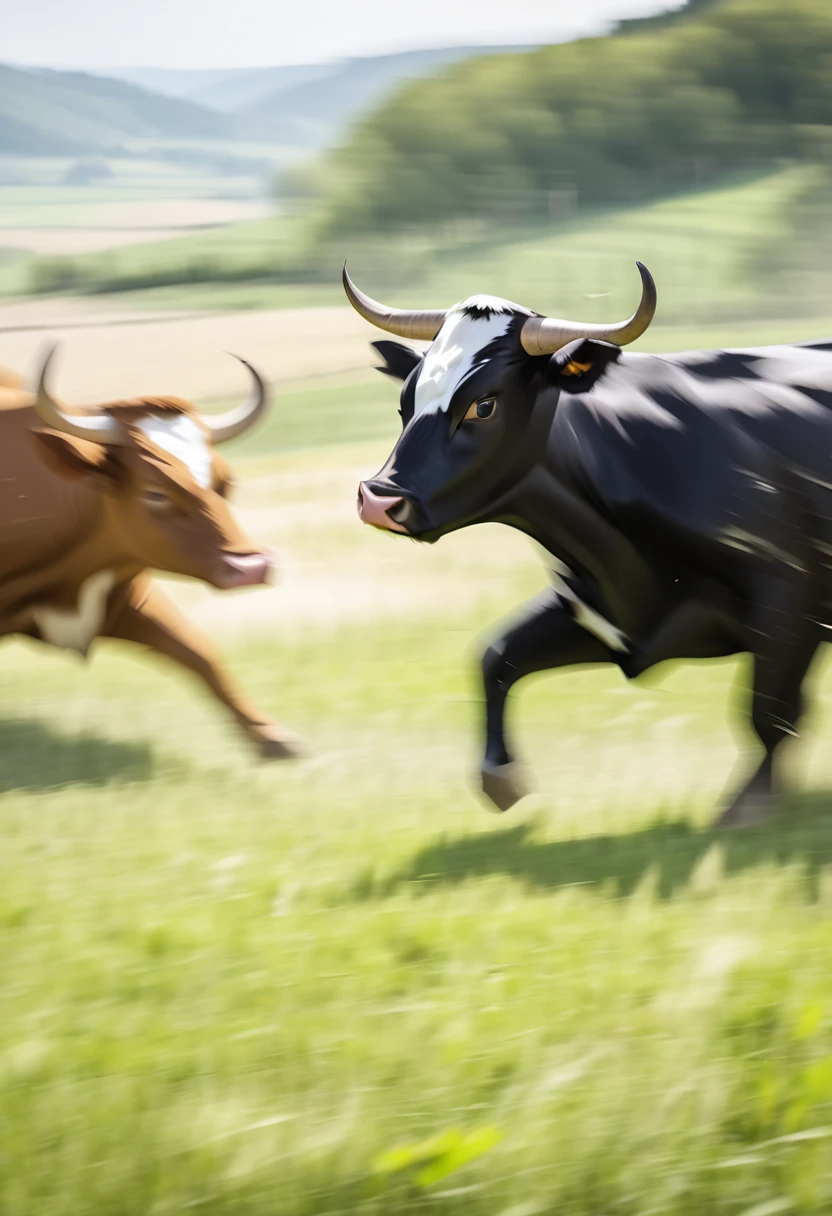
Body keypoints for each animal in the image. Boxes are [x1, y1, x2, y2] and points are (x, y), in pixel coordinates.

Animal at [0, 345, 301, 758]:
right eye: (156, 492)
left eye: (226, 482)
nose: (252, 566)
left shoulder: (125, 599)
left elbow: (198, 649)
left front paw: (269, 735)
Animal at [343, 260, 832, 822]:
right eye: (406, 402)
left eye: (483, 406)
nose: (378, 499)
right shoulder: (593, 611)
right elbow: (497, 656)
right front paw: (499, 775)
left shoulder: (789, 599)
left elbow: (770, 712)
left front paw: (749, 807)